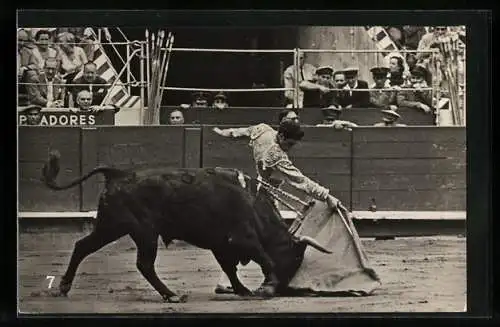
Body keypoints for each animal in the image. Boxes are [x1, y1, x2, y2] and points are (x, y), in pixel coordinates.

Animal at [42, 152, 332, 304]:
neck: (252, 204)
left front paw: (242, 290)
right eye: (295, 259)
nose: (284, 289)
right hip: (144, 232)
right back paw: (171, 295)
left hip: (111, 226)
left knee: (82, 246)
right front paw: (265, 287)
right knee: (144, 264)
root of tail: (118, 174)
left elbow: (230, 268)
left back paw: (64, 287)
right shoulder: (243, 237)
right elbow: (265, 258)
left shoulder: (221, 244)